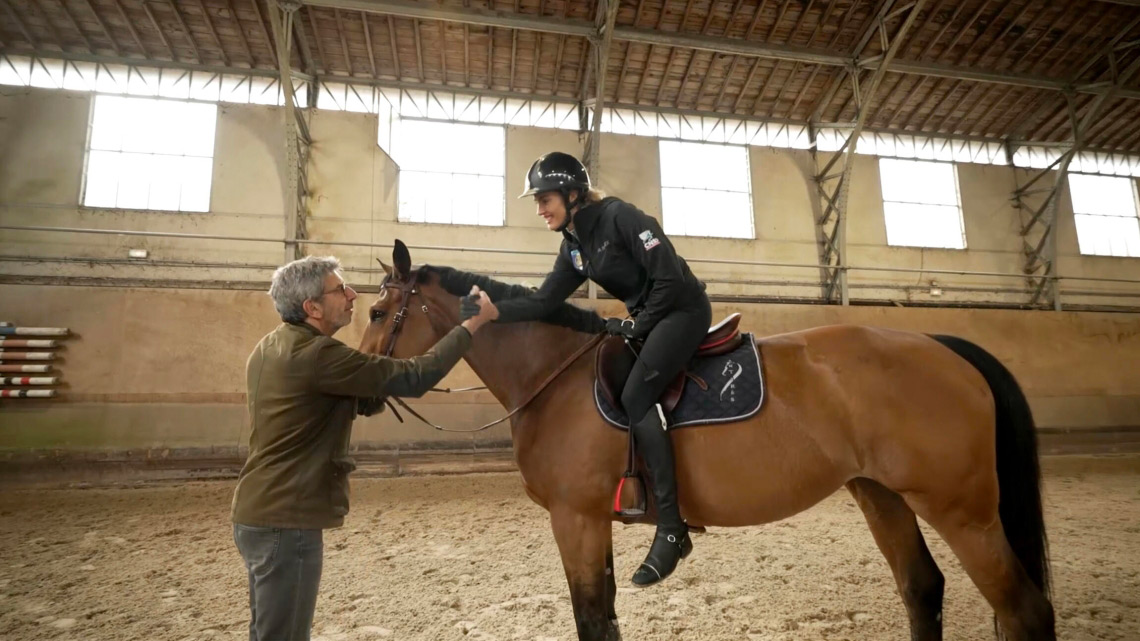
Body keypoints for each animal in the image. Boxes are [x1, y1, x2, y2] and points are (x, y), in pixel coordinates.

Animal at [360, 239, 1053, 638]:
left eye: (376, 312)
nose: (364, 391)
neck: (552, 374)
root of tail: (941, 344)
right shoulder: (593, 520)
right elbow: (605, 615)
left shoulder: (574, 517)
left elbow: (591, 618)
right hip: (882, 496)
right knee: (922, 590)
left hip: (962, 511)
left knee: (1024, 610)